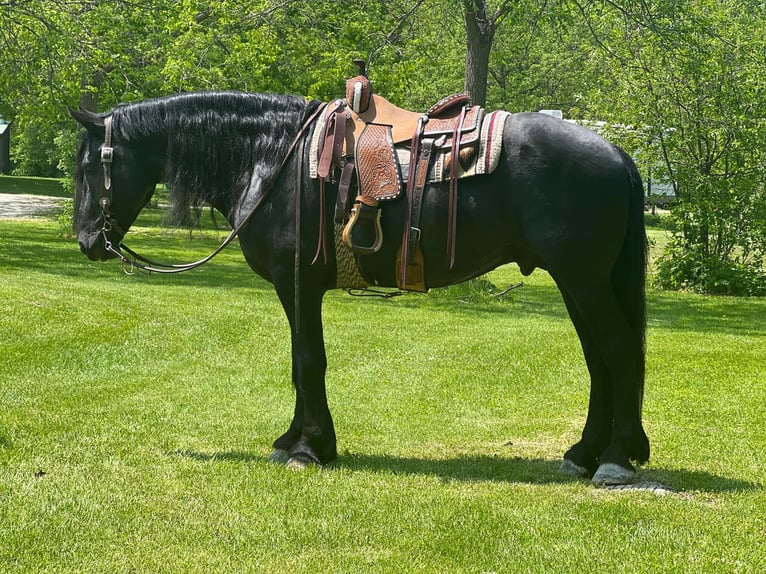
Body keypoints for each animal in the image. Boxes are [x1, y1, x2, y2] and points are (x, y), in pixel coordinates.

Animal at [72, 91, 652, 486]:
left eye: (90, 167)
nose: (87, 241)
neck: (272, 160)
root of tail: (618, 154)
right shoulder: (298, 289)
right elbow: (303, 362)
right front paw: (301, 440)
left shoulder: (299, 285)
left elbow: (308, 361)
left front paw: (308, 448)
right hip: (577, 283)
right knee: (600, 360)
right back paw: (582, 454)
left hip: (584, 280)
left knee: (620, 352)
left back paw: (615, 460)